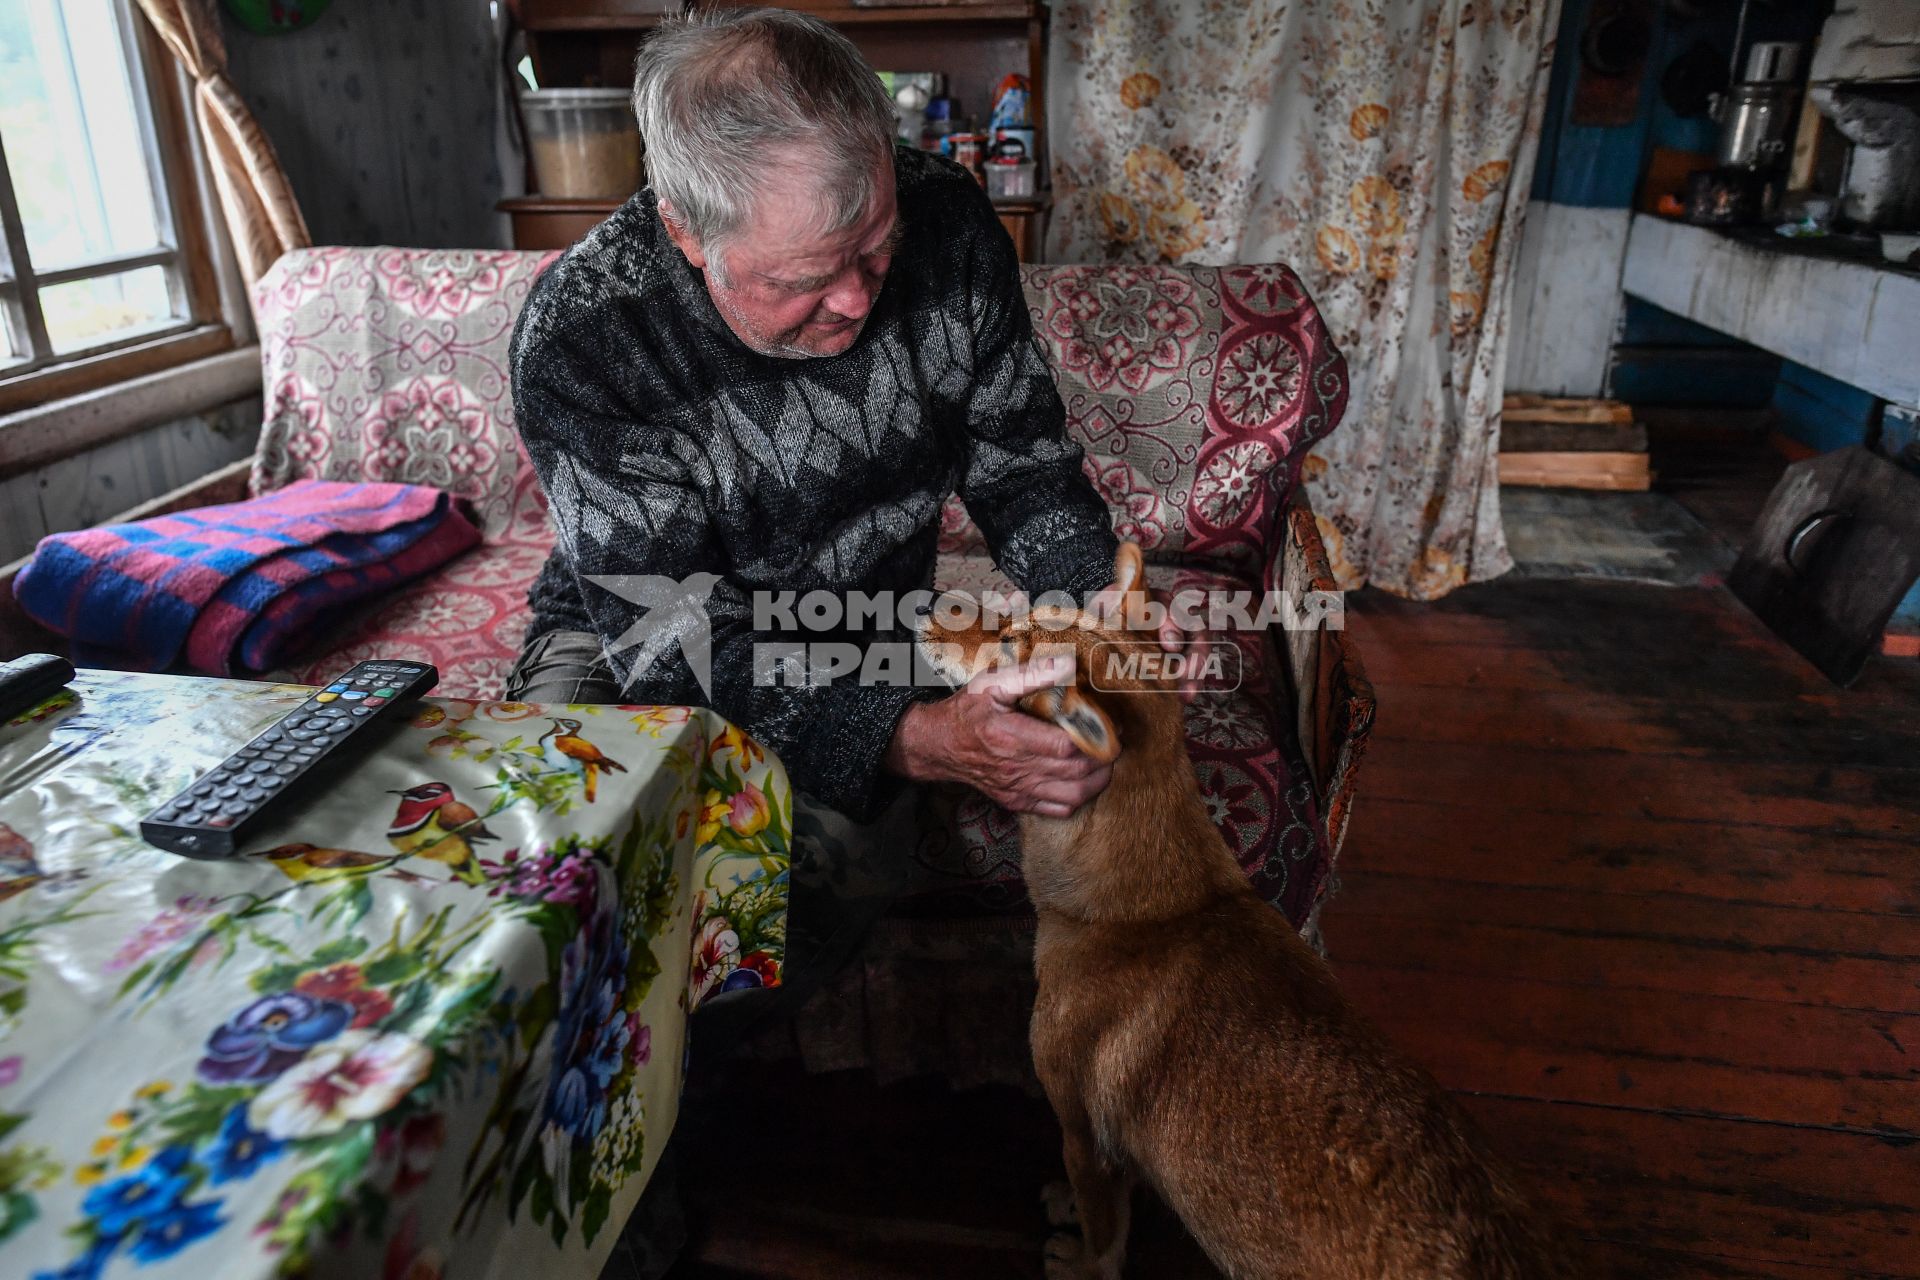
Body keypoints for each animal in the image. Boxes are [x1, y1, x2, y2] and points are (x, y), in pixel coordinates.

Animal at [921, 545, 1582, 1274]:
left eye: (1012, 643)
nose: (927, 606)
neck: (1149, 906)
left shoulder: (1081, 1133)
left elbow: (1103, 1227)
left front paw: (1080, 1256)